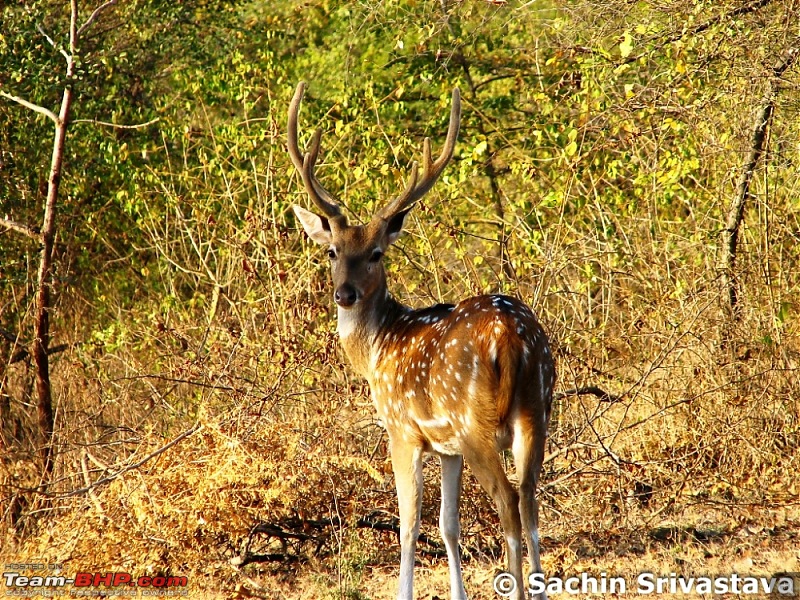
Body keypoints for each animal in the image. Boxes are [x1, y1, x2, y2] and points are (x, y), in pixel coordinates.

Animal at [288, 83, 556, 600]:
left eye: (376, 253)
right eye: (332, 251)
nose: (344, 293)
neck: (377, 348)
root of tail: (512, 338)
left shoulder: (402, 429)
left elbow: (409, 524)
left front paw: (405, 591)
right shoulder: (445, 447)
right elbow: (449, 525)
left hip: (475, 422)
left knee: (510, 504)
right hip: (537, 407)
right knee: (531, 502)